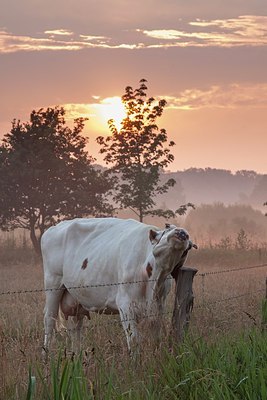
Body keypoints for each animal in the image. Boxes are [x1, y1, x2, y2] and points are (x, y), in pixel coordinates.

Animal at [42, 217, 193, 352]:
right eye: (168, 227)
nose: (182, 232)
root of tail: (55, 226)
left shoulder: (158, 307)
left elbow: (156, 337)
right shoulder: (125, 304)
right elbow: (134, 340)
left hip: (75, 298)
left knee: (75, 329)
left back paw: (77, 357)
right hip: (53, 284)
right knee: (49, 321)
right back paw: (46, 356)